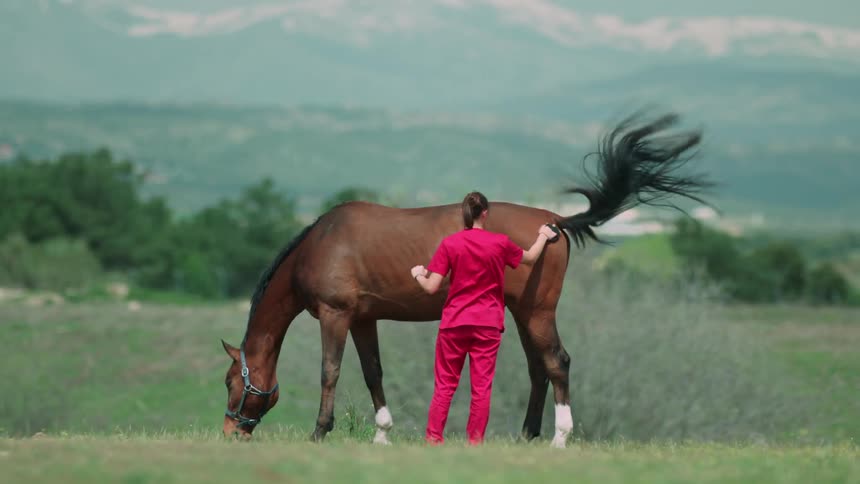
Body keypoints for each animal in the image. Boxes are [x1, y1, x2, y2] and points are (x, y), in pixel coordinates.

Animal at [220, 111, 712, 448]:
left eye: (229, 383)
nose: (230, 431)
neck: (321, 243)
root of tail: (554, 222)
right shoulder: (363, 319)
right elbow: (373, 372)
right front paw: (382, 433)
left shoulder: (335, 315)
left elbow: (330, 371)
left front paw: (320, 431)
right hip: (521, 313)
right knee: (538, 368)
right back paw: (527, 435)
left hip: (538, 312)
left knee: (558, 362)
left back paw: (559, 437)